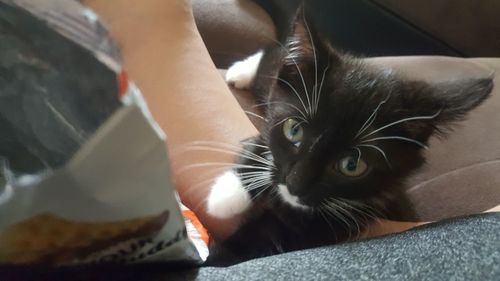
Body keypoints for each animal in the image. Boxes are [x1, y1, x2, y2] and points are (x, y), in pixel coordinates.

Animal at [206, 7, 492, 264]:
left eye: (352, 165)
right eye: (294, 130)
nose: (295, 185)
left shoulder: (353, 212)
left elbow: (277, 235)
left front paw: (216, 255)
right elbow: (263, 142)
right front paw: (227, 194)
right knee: (273, 59)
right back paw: (242, 71)